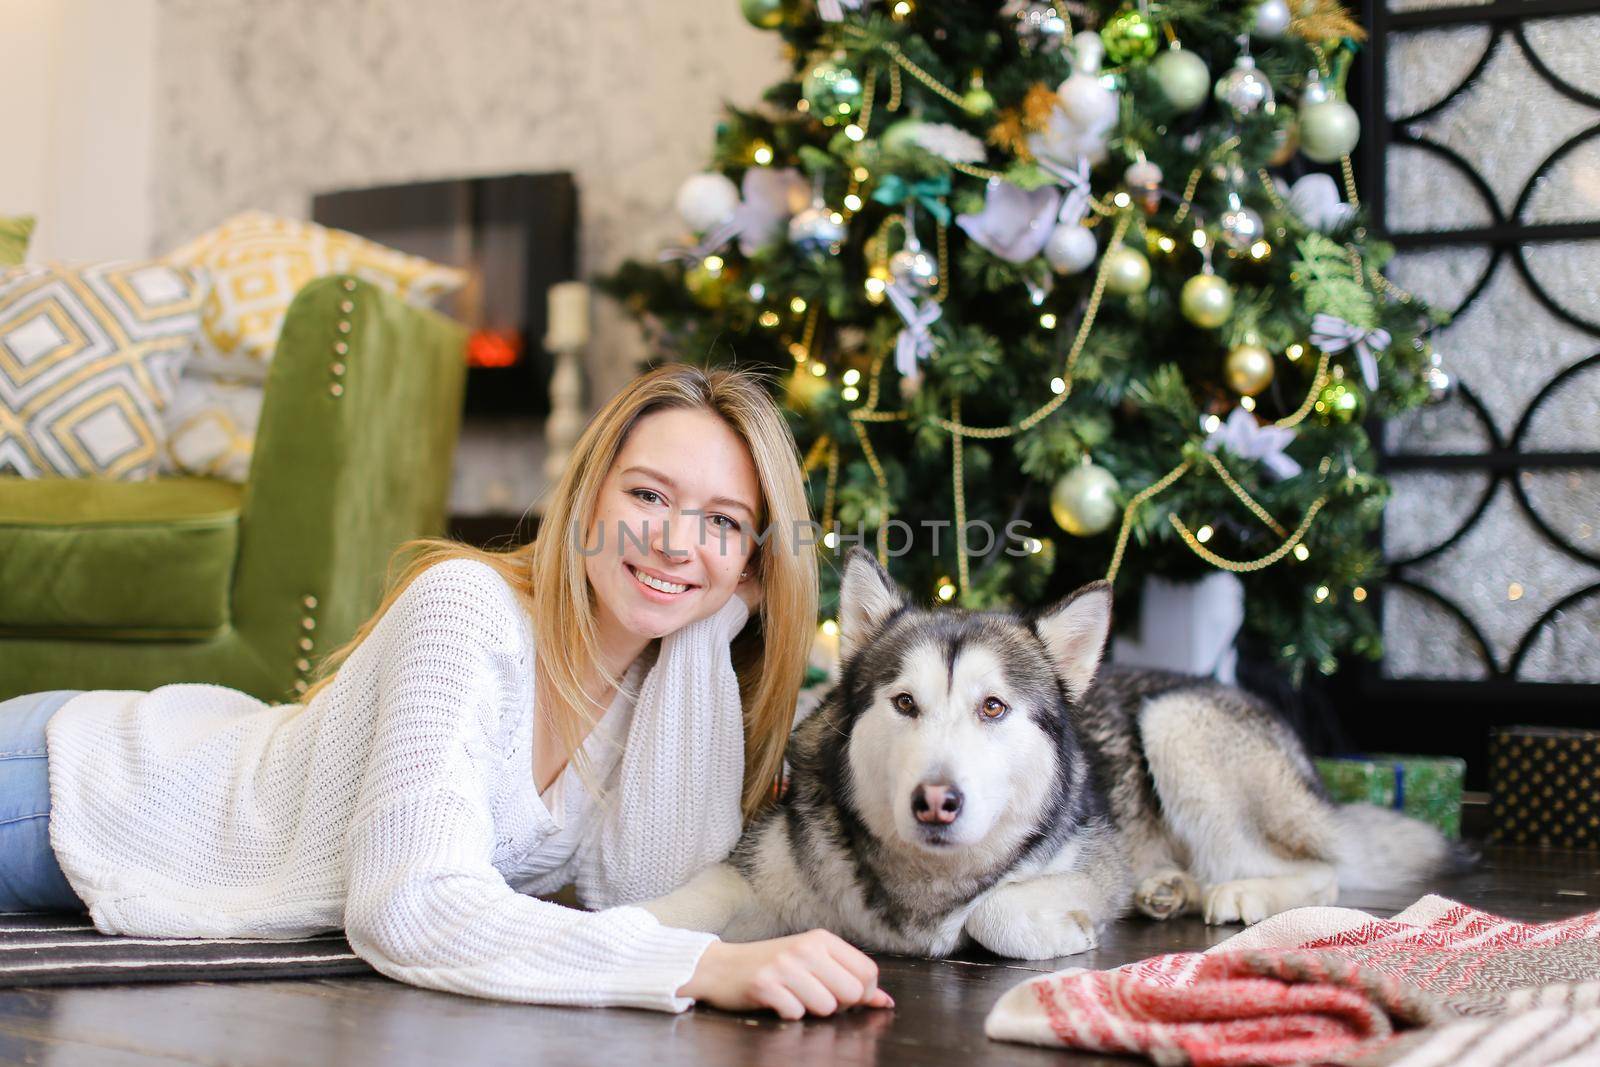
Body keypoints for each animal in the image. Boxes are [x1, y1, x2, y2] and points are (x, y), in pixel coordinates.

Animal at [643, 550, 1459, 959]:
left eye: (993, 708)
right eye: (904, 704)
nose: (936, 800)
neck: (926, 882)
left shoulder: (1092, 860)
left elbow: (996, 910)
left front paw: (1056, 929)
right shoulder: (759, 870)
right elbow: (685, 899)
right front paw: (626, 926)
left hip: (1177, 725)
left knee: (1322, 867)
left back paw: (1240, 894)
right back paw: (1170, 889)